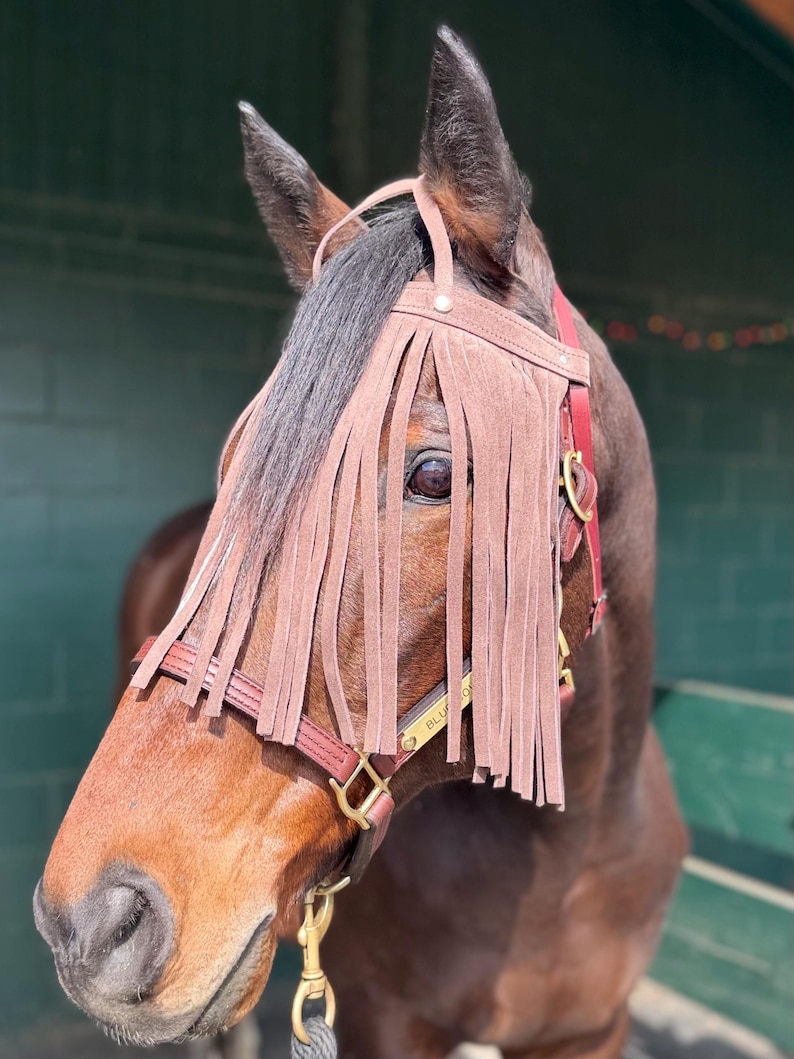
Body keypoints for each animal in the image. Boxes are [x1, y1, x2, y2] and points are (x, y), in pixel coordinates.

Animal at [34, 28, 687, 1059]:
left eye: (434, 473)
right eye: (238, 458)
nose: (92, 921)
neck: (565, 855)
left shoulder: (595, 1028)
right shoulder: (384, 1019)